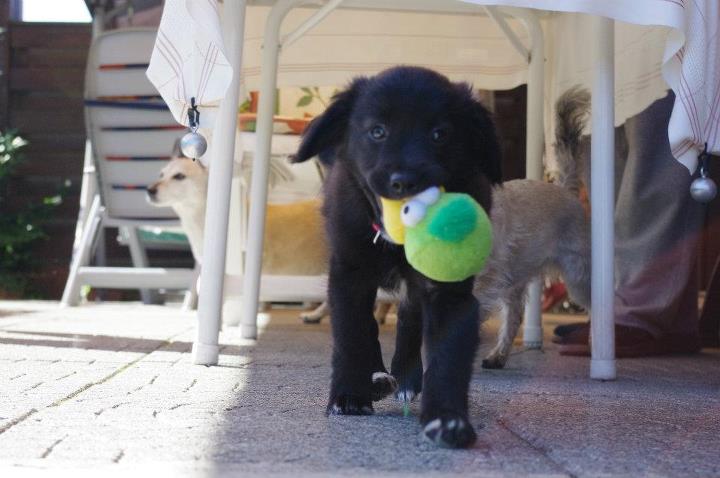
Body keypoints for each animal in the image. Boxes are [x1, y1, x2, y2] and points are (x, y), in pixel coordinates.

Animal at [292, 66, 500, 448]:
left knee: (409, 318)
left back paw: (405, 377)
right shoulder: (348, 274)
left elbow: (448, 354)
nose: (404, 182)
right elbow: (354, 330)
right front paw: (349, 395)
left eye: (440, 134)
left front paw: (447, 418)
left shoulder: (451, 292)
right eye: (378, 131)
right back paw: (377, 379)